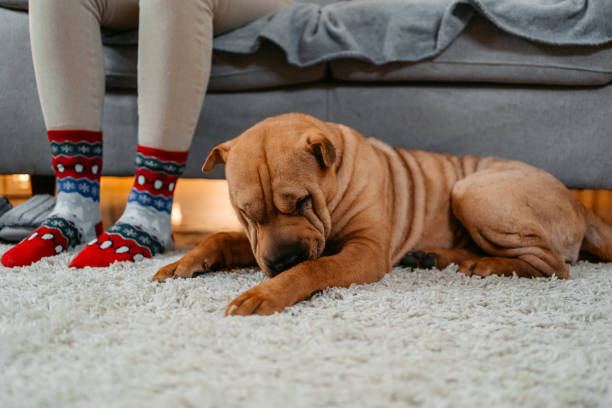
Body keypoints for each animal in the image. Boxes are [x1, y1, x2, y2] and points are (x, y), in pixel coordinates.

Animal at [152, 113, 612, 318]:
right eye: (246, 212)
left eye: (301, 202)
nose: (281, 261)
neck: (334, 190)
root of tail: (579, 203)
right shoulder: (259, 243)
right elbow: (220, 239)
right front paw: (180, 263)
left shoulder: (366, 251)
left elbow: (313, 269)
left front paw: (263, 294)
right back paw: (437, 257)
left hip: (473, 190)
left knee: (553, 266)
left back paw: (482, 264)